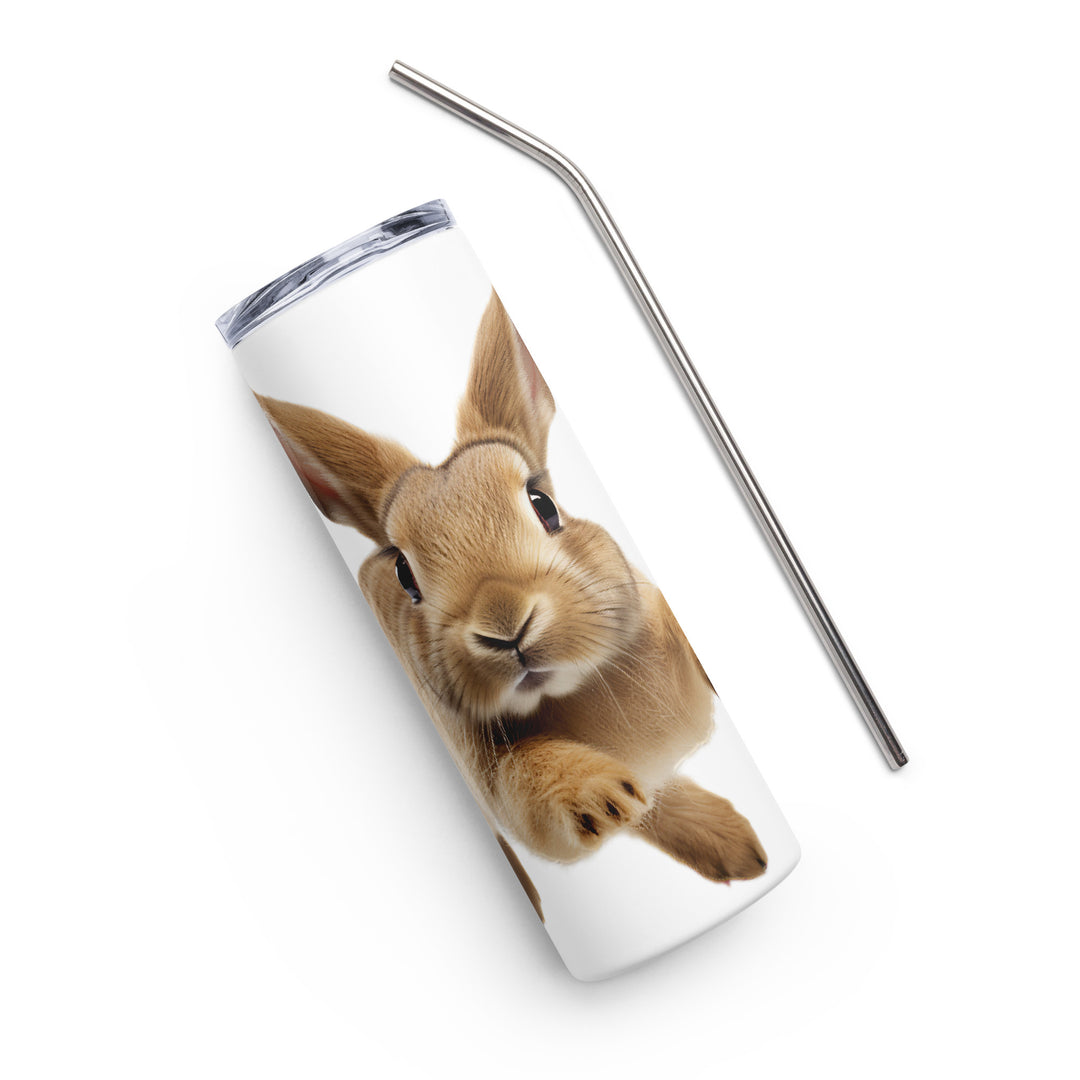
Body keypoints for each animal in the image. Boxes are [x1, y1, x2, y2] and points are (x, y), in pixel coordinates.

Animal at [256, 290, 766, 915]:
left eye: (543, 504)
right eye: (405, 573)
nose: (506, 626)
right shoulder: (498, 785)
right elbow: (536, 779)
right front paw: (600, 797)